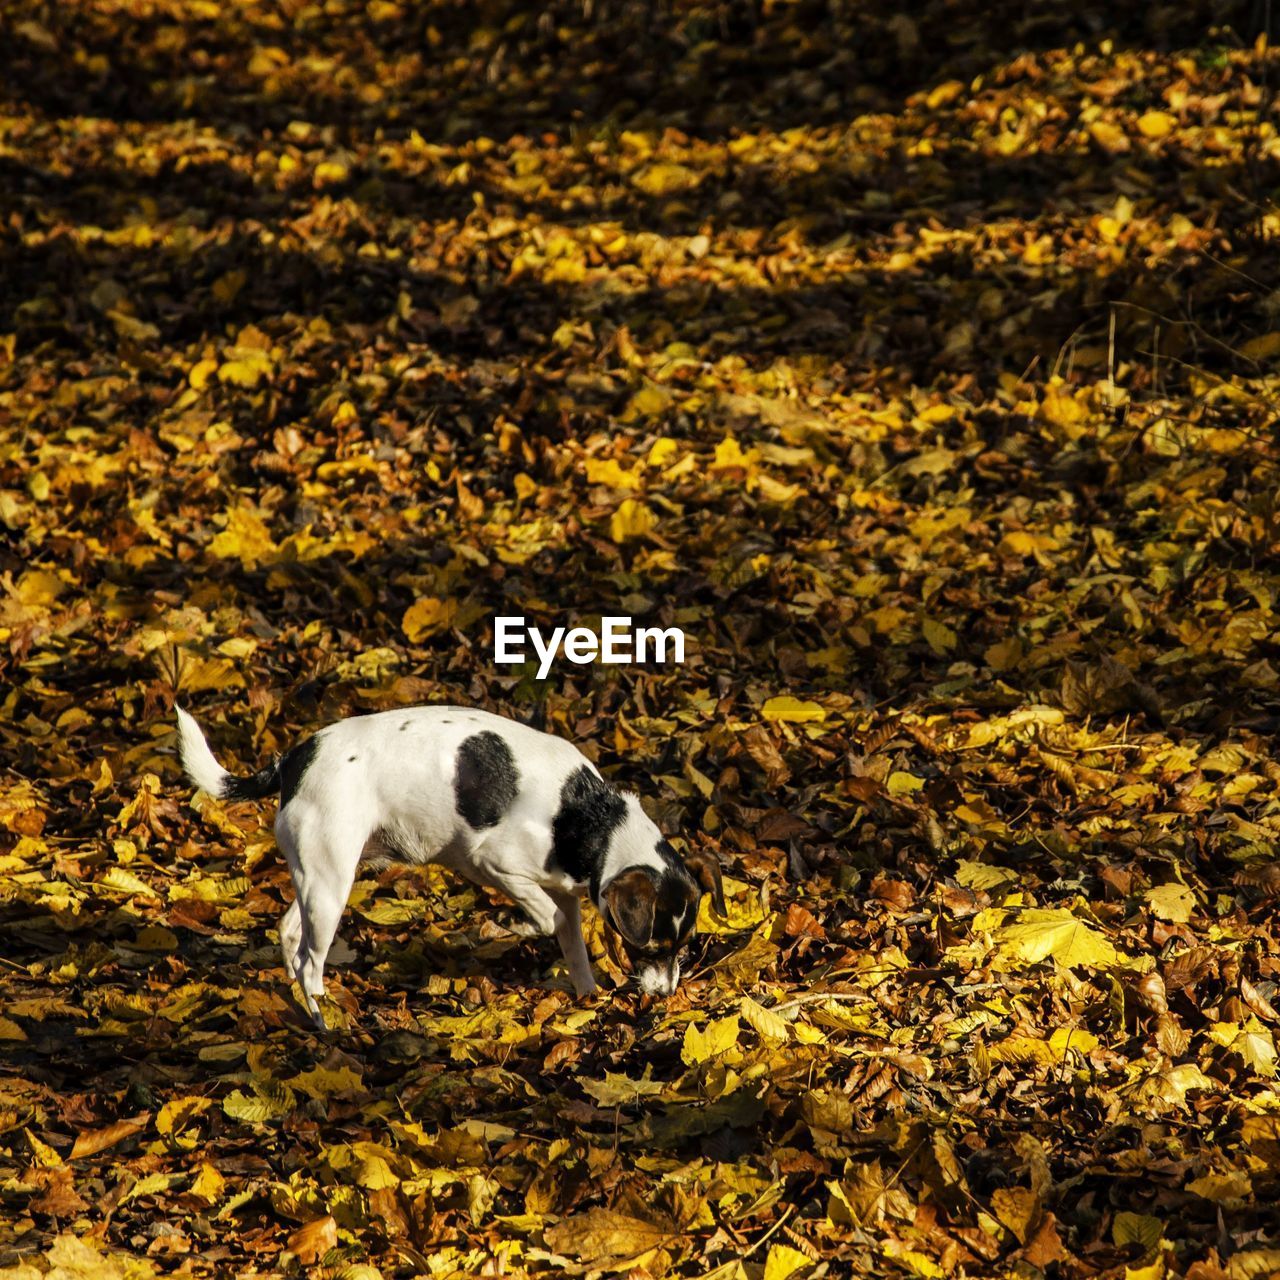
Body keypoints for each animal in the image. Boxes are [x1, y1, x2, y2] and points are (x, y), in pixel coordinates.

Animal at [175, 706, 727, 1024]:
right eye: (650, 947)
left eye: (686, 947)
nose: (664, 996)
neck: (592, 818)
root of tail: (292, 760)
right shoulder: (495, 864)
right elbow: (546, 916)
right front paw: (512, 927)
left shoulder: (567, 895)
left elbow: (573, 947)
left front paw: (588, 999)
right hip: (331, 884)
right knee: (313, 961)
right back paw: (325, 1021)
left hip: (322, 879)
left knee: (292, 933)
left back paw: (300, 999)